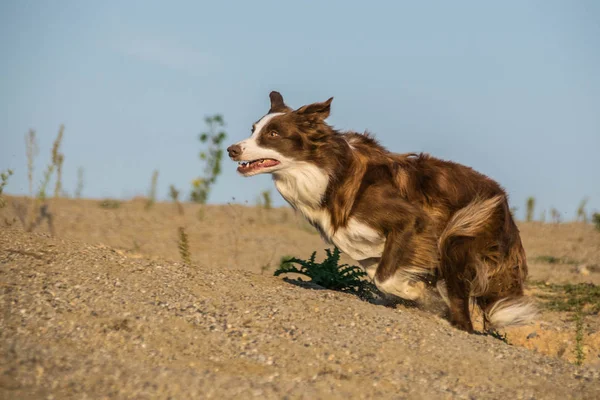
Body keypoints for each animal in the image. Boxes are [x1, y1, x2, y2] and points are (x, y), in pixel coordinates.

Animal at [226, 92, 536, 332]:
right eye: (253, 129)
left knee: (463, 308)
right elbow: (378, 270)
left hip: (460, 234)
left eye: (273, 134)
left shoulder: (412, 221)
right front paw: (417, 291)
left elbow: (384, 276)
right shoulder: (364, 243)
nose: (231, 150)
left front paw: (413, 291)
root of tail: (503, 201)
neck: (327, 172)